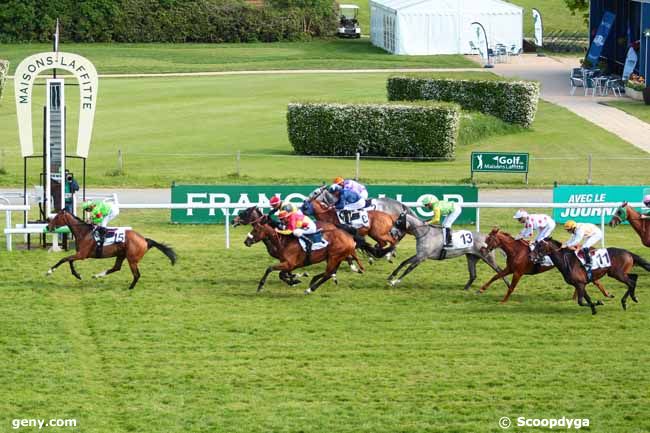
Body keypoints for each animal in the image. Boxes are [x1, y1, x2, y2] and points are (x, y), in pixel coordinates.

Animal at [44, 208, 177, 288]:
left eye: (56, 217)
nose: (47, 226)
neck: (84, 232)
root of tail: (145, 240)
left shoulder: (82, 255)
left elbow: (64, 259)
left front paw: (50, 271)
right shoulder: (80, 254)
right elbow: (69, 261)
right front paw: (77, 275)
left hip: (132, 259)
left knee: (136, 275)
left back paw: (130, 288)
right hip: (121, 255)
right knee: (116, 268)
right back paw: (97, 275)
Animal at [478, 228, 612, 302]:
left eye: (489, 239)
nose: (482, 250)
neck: (516, 251)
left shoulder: (518, 272)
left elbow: (511, 287)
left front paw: (504, 301)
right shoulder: (510, 268)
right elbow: (496, 276)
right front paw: (481, 289)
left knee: (594, 281)